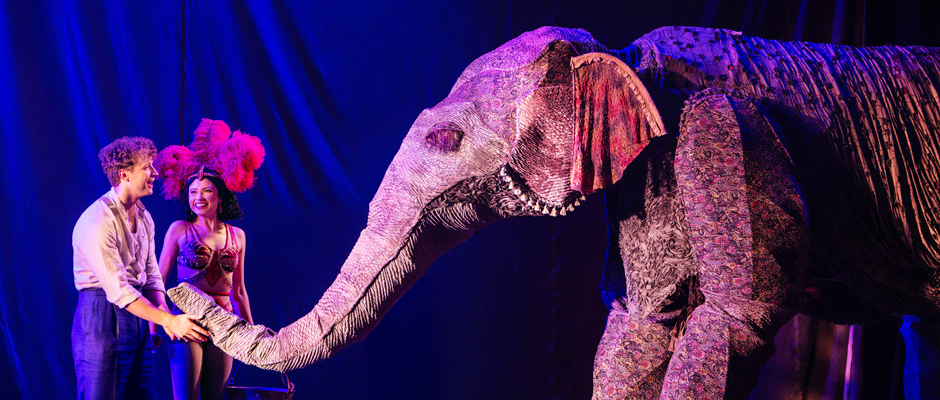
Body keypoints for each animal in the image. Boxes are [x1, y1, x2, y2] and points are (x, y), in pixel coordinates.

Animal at [168, 26, 940, 399]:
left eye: (446, 141)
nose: (179, 291)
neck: (623, 56)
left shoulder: (725, 131)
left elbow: (730, 321)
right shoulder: (645, 177)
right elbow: (639, 324)